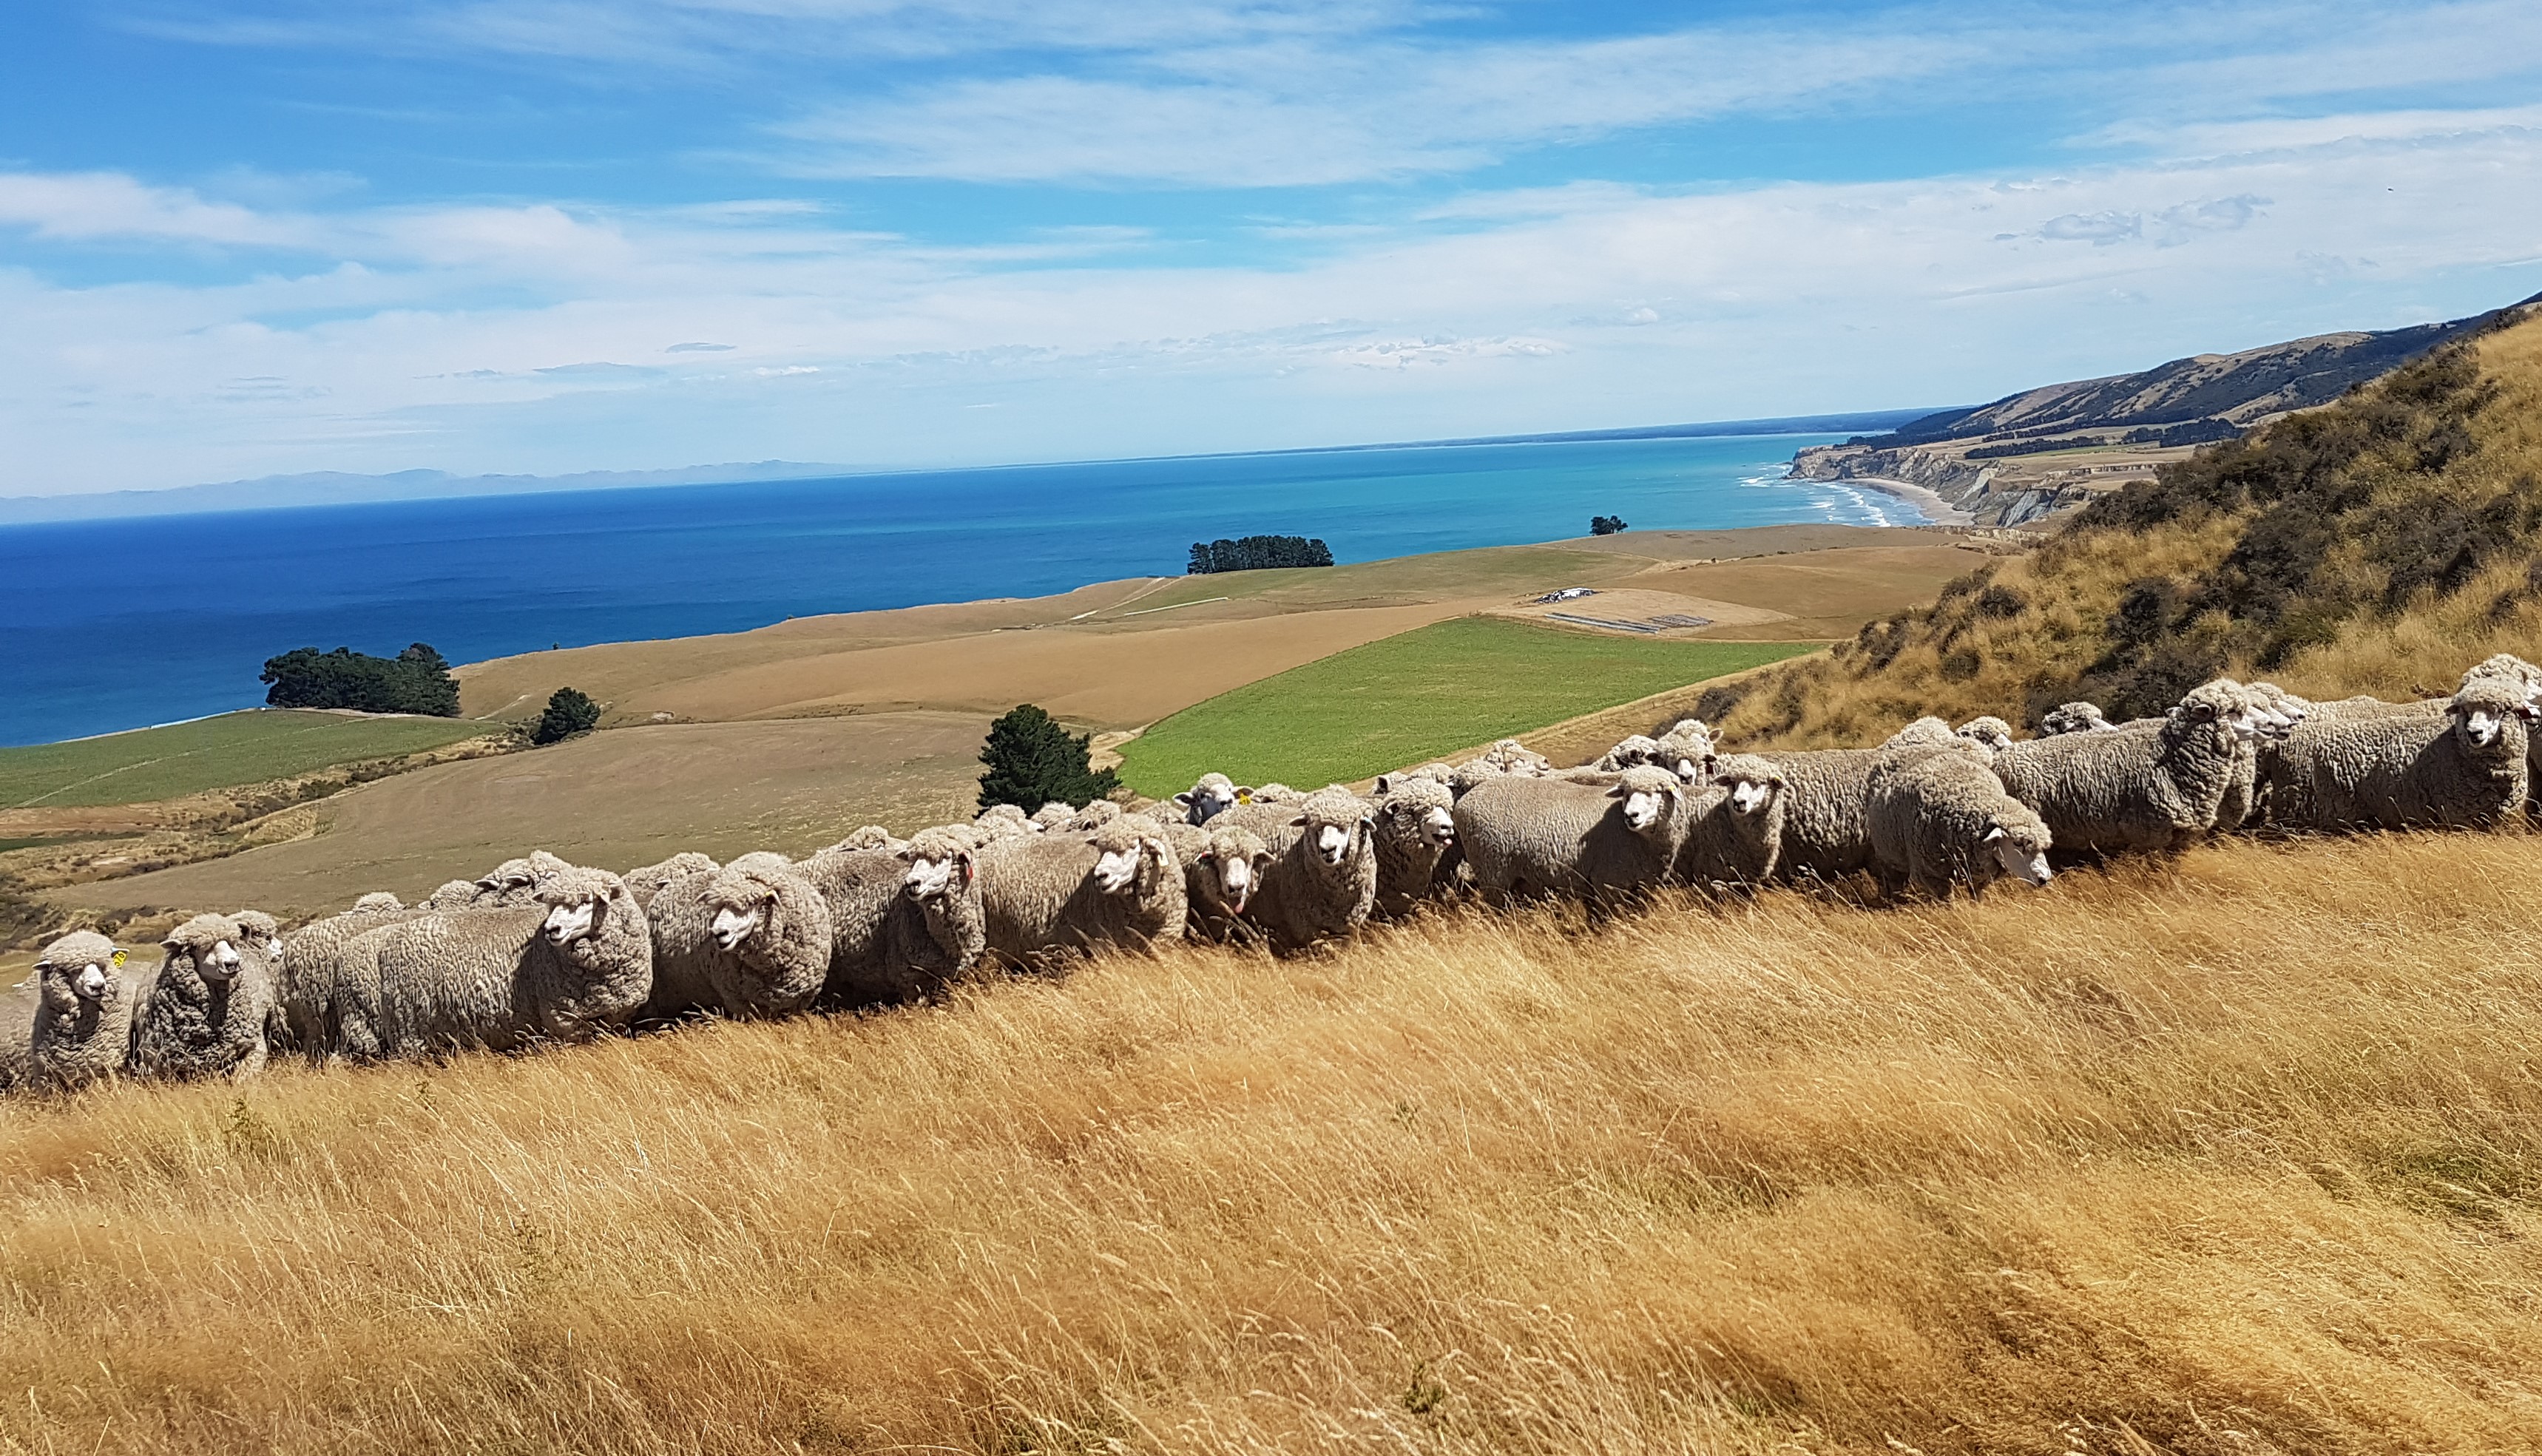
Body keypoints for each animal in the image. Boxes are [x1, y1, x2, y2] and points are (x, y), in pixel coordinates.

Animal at [130, 913, 278, 1081]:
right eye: (202, 948)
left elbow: (242, 1078)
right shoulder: (152, 1057)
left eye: (232, 943)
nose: (233, 963)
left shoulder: (255, 1045)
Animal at [1453, 766, 1695, 905]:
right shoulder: (1607, 882)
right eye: (1626, 793)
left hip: (1515, 880)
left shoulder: (1644, 885)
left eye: (1658, 791)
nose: (1631, 816)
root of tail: (1463, 803)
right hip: (1493, 874)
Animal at [1867, 732, 2055, 899]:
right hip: (1889, 854)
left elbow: (1977, 896)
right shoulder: (1934, 876)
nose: (2044, 879)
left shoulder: (1978, 872)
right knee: (1895, 884)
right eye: (2017, 843)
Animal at [1990, 680, 2266, 856]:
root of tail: (1998, 760)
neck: (2170, 760)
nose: (2271, 726)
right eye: (2234, 711)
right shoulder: (2148, 835)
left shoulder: (2178, 839)